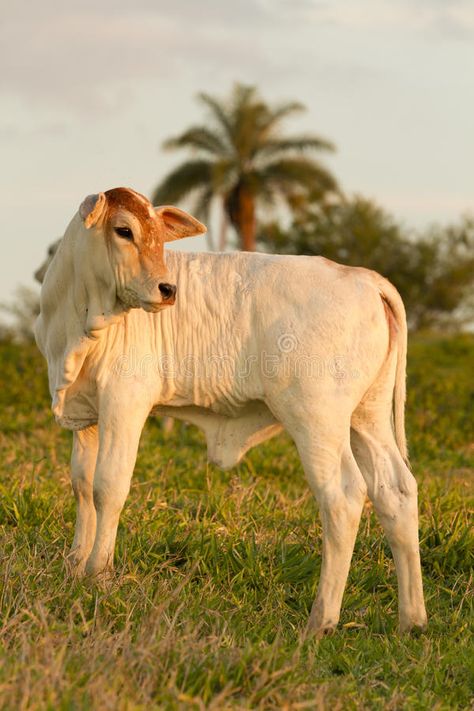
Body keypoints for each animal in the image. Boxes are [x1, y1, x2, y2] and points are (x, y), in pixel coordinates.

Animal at [33, 186, 426, 636]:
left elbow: (108, 488)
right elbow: (82, 487)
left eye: (159, 236)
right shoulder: (86, 415)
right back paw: (412, 621)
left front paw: (99, 574)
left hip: (318, 420)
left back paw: (321, 620)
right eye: (124, 230)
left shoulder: (124, 401)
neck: (75, 319)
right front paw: (75, 566)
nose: (167, 289)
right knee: (394, 492)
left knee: (342, 498)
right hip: (366, 417)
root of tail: (363, 277)